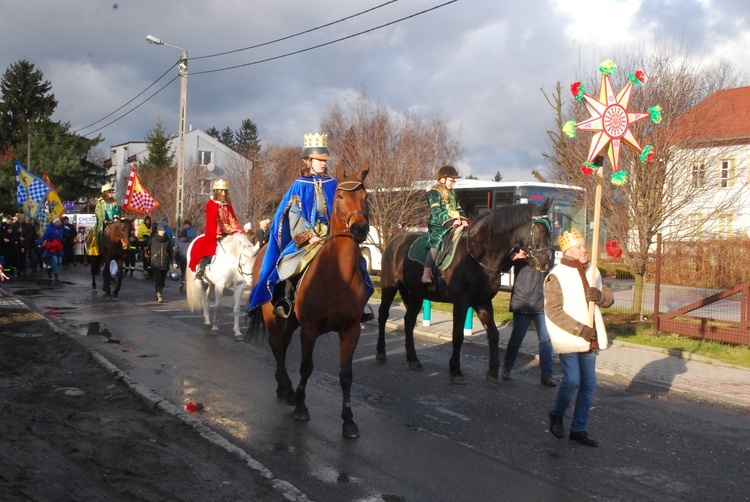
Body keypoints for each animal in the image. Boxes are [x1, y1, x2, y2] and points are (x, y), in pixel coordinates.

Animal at [251, 160, 372, 436]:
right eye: (340, 196)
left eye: (366, 197)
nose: (360, 229)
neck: (338, 277)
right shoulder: (310, 329)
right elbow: (306, 367)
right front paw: (301, 407)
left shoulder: (350, 330)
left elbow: (346, 375)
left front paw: (348, 420)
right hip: (271, 314)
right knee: (277, 346)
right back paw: (286, 389)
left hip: (291, 320)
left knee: (283, 344)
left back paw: (284, 388)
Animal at [378, 199, 556, 384]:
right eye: (541, 230)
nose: (547, 263)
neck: (479, 256)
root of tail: (395, 240)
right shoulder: (461, 303)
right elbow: (458, 335)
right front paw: (456, 371)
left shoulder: (483, 302)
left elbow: (494, 334)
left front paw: (493, 372)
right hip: (390, 286)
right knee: (383, 315)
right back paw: (381, 353)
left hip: (414, 294)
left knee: (409, 321)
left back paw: (413, 359)